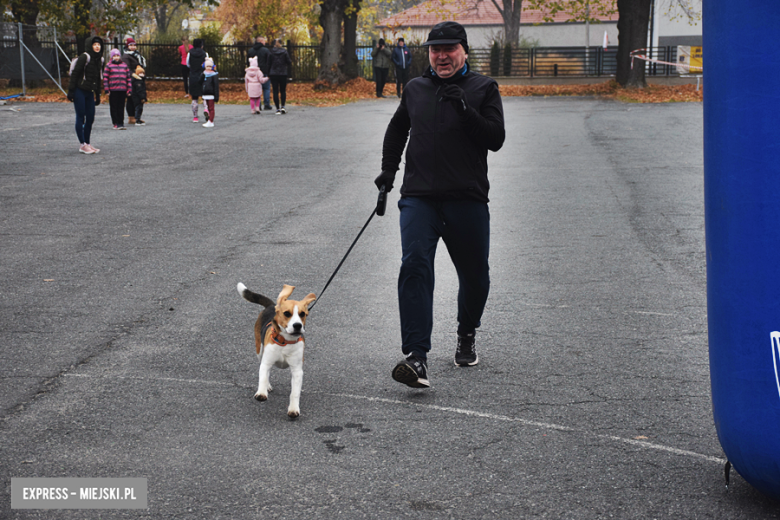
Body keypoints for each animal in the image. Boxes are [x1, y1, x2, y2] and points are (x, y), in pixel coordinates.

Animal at [236, 282, 316, 416]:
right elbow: (263, 376)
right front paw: (262, 392)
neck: (286, 341)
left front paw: (293, 409)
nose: (297, 325)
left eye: (302, 314)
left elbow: (295, 392)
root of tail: (272, 305)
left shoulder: (297, 370)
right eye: (287, 313)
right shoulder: (266, 361)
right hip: (259, 351)